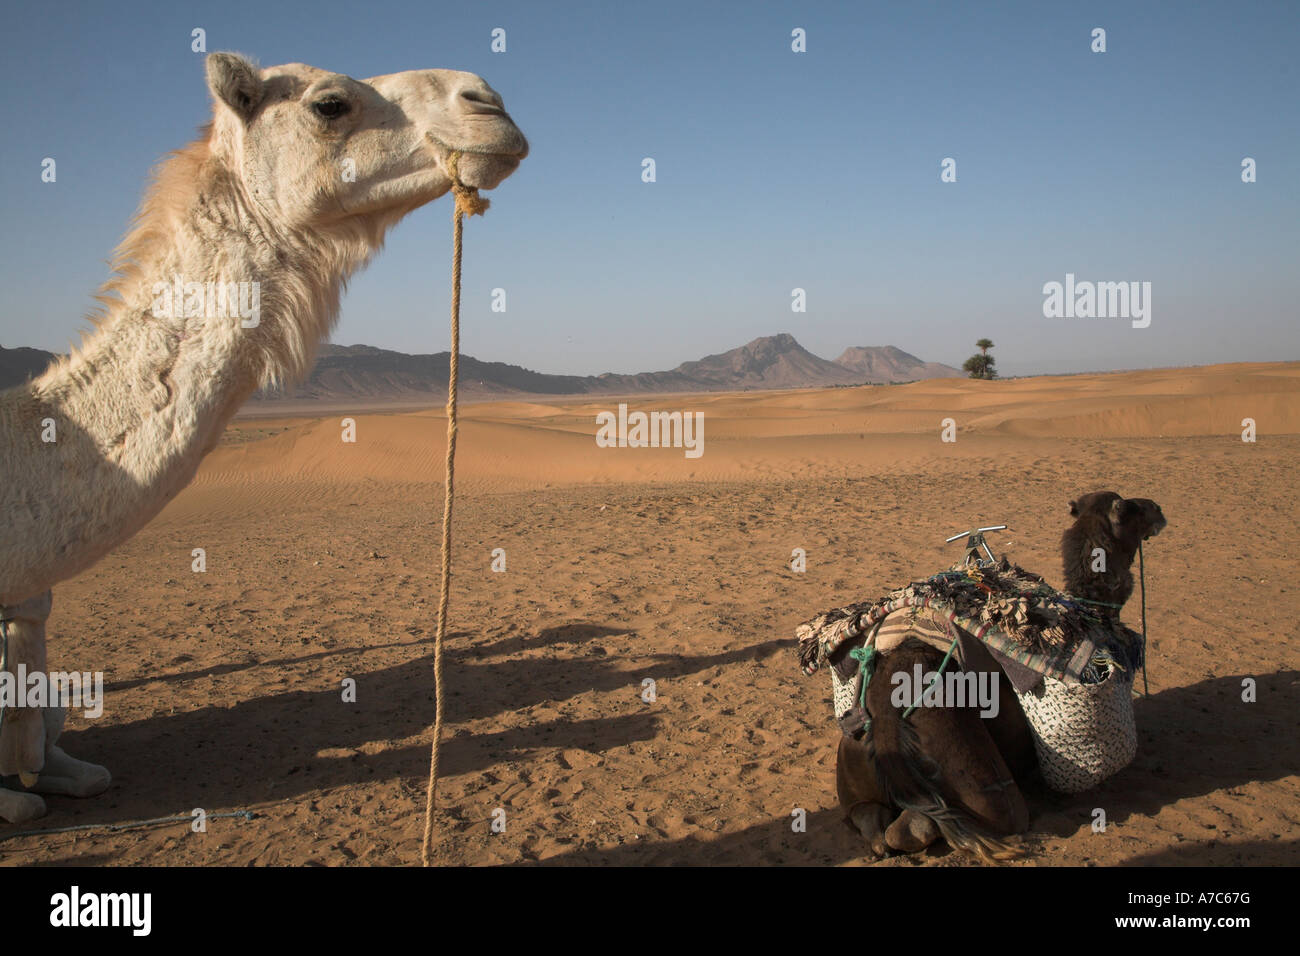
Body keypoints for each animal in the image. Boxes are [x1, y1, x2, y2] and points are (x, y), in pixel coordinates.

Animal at [836, 492, 1166, 861]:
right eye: (1129, 508)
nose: (1157, 509)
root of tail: (888, 725)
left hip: (855, 761)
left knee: (872, 821)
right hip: (988, 792)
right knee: (919, 826)